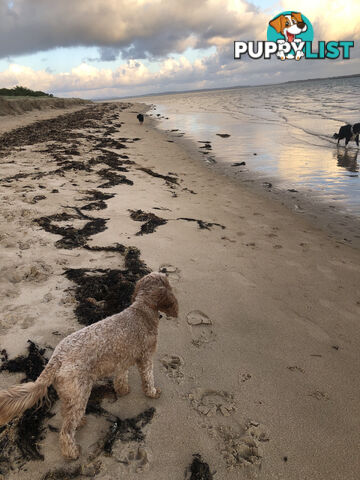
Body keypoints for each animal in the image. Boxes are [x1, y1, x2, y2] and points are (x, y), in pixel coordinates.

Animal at [0, 272, 179, 460]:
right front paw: (152, 392)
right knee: (66, 430)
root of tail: (57, 358)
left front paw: (123, 390)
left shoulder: (122, 360)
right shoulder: (146, 358)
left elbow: (121, 378)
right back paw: (72, 452)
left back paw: (80, 423)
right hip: (80, 393)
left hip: (70, 394)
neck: (142, 310)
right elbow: (148, 378)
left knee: (66, 413)